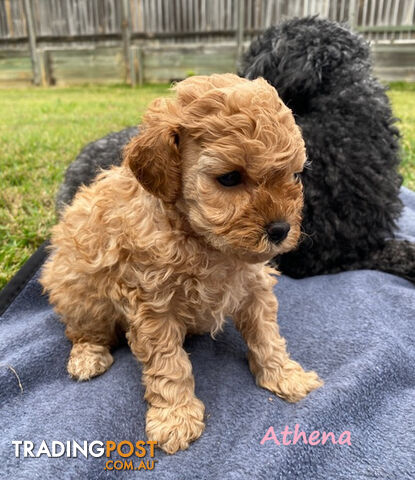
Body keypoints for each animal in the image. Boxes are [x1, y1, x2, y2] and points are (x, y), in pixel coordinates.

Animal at [40, 74, 324, 454]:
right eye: (229, 178)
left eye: (294, 176)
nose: (281, 230)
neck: (204, 243)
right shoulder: (151, 305)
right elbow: (169, 363)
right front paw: (175, 417)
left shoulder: (254, 285)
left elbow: (267, 335)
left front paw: (285, 375)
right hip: (81, 296)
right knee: (82, 330)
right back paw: (87, 357)